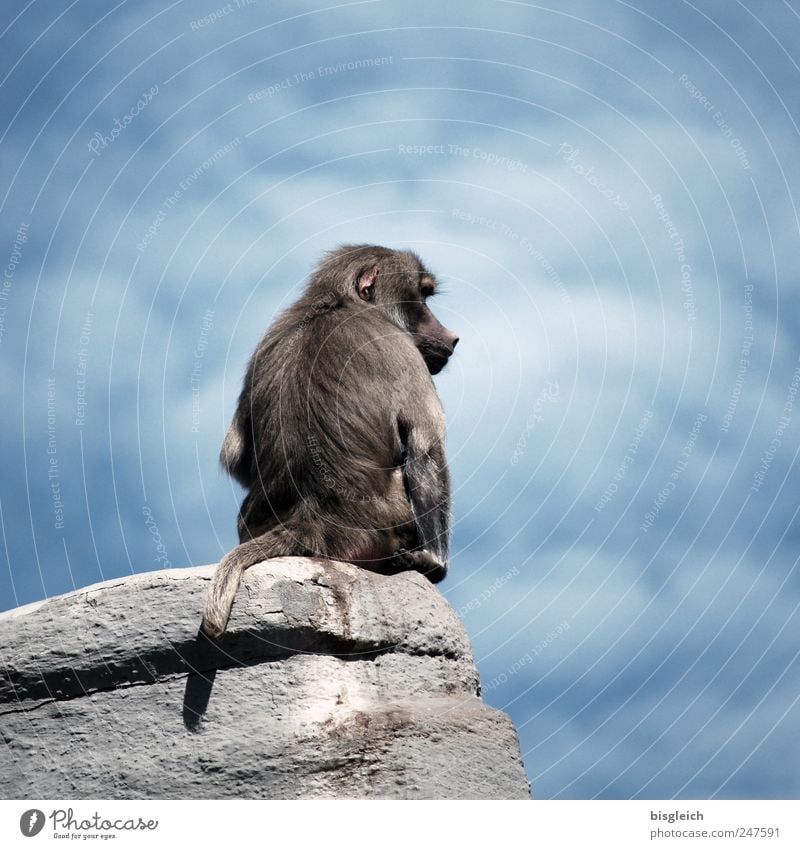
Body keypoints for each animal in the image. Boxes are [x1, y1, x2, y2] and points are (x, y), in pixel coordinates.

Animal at [202, 245, 456, 636]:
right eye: (422, 296)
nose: (451, 336)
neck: (335, 303)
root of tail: (311, 520)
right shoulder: (399, 346)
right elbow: (426, 447)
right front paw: (433, 562)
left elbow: (236, 460)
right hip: (390, 522)